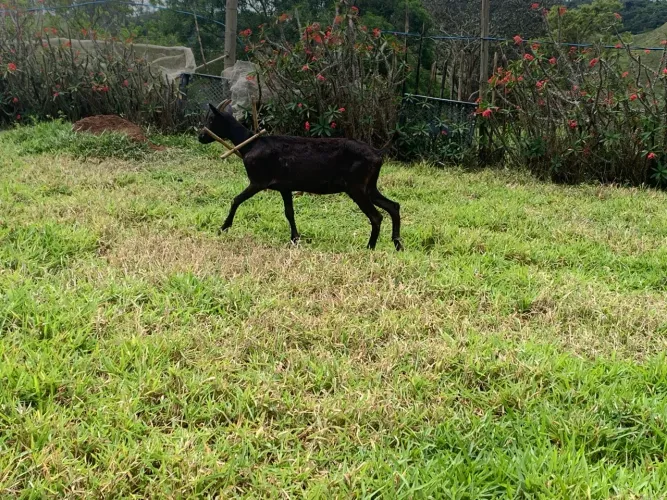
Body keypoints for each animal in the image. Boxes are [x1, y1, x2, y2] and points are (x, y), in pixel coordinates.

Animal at [198, 102, 403, 251]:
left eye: (211, 119)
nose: (200, 137)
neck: (251, 144)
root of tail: (377, 152)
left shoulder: (258, 182)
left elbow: (236, 200)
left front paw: (223, 228)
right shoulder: (284, 187)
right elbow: (289, 212)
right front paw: (295, 239)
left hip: (356, 187)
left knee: (376, 216)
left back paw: (370, 247)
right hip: (369, 186)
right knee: (393, 206)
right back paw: (398, 244)